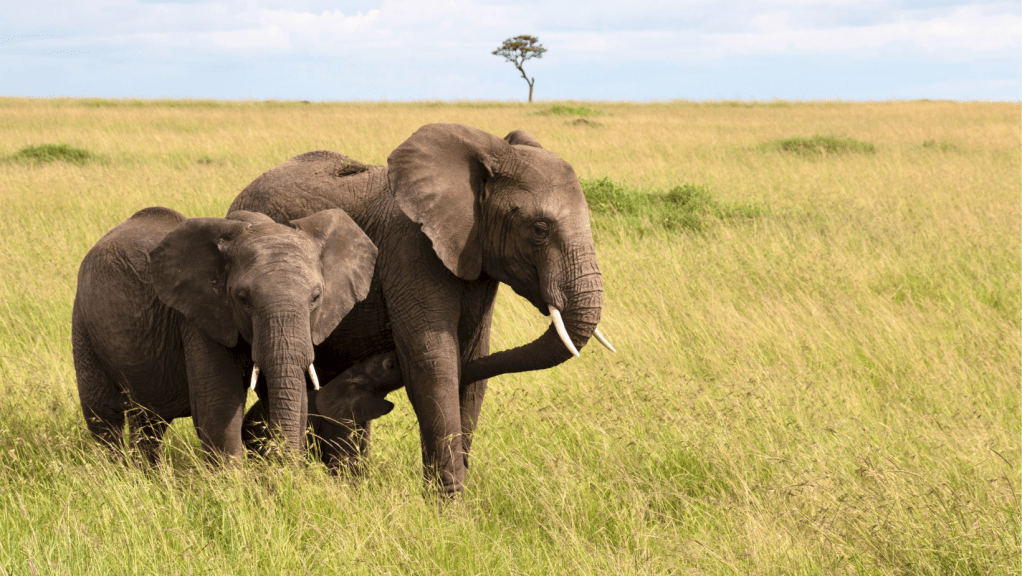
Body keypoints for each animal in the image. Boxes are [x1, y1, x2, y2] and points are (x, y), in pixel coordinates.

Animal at [71, 206, 377, 463]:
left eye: (315, 297)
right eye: (242, 299)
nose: (290, 473)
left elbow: (291, 397)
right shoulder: (198, 319)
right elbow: (219, 407)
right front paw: (234, 488)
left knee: (147, 419)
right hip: (83, 323)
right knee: (104, 415)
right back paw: (115, 471)